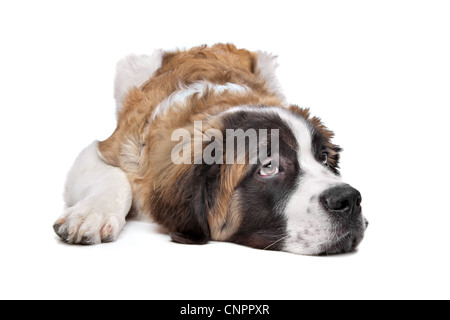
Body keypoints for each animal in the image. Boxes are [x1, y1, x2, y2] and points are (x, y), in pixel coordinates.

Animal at [53, 44, 370, 255]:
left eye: (324, 158)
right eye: (268, 167)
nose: (350, 199)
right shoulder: (108, 149)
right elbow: (115, 178)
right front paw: (91, 214)